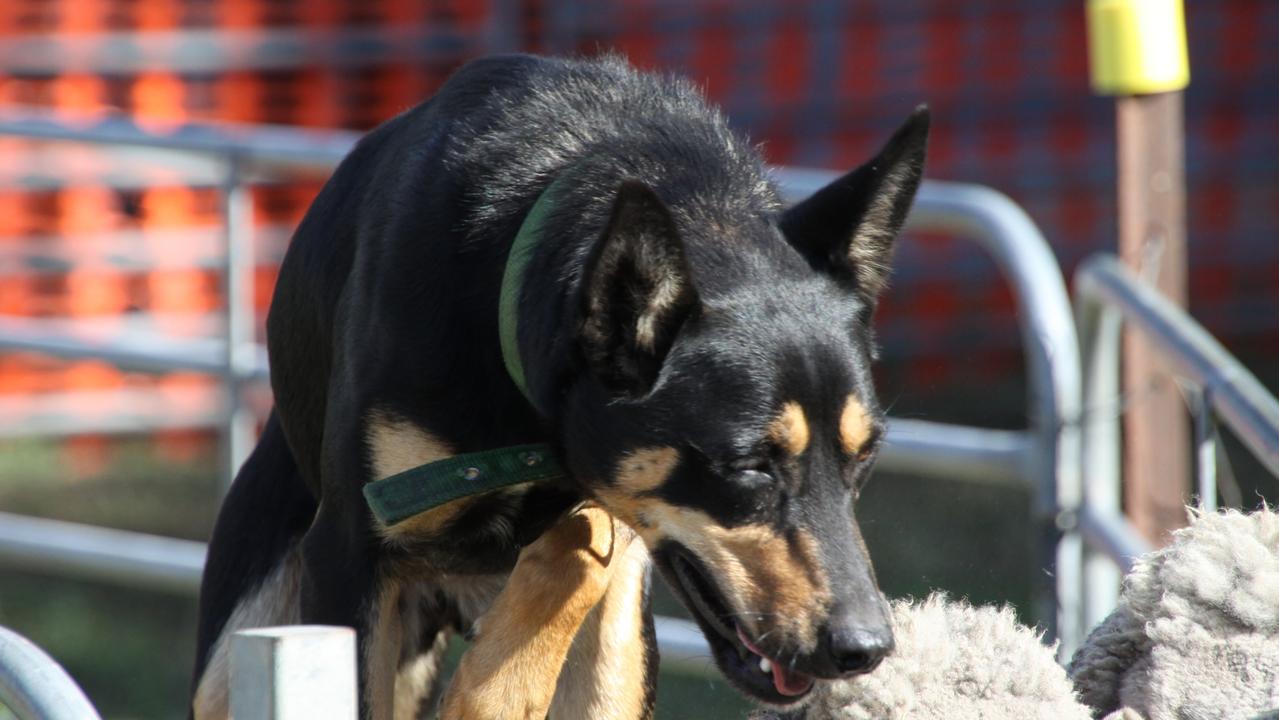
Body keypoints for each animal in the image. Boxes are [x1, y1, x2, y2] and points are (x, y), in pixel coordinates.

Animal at [189, 54, 931, 720]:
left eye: (864, 458)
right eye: (747, 466)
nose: (864, 649)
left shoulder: (601, 506)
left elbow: (582, 543)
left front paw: (494, 687)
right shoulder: (349, 550)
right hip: (240, 654)